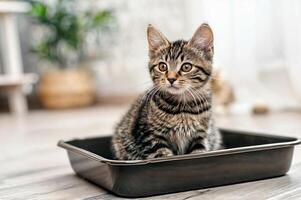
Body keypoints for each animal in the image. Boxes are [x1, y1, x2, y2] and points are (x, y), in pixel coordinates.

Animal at [111, 23, 221, 160]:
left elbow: (198, 153)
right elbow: (163, 157)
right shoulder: (150, 137)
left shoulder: (200, 137)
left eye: (186, 67)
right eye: (162, 66)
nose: (171, 79)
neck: (183, 108)